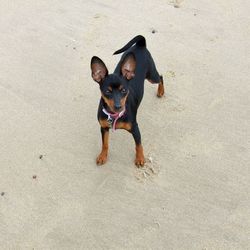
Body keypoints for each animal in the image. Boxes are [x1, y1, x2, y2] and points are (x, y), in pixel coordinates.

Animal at [90, 33, 164, 166]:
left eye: (124, 90)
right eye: (107, 91)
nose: (118, 106)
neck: (115, 116)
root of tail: (141, 44)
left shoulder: (135, 128)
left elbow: (139, 145)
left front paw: (140, 158)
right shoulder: (104, 128)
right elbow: (105, 144)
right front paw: (103, 156)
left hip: (152, 76)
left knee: (161, 77)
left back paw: (161, 91)